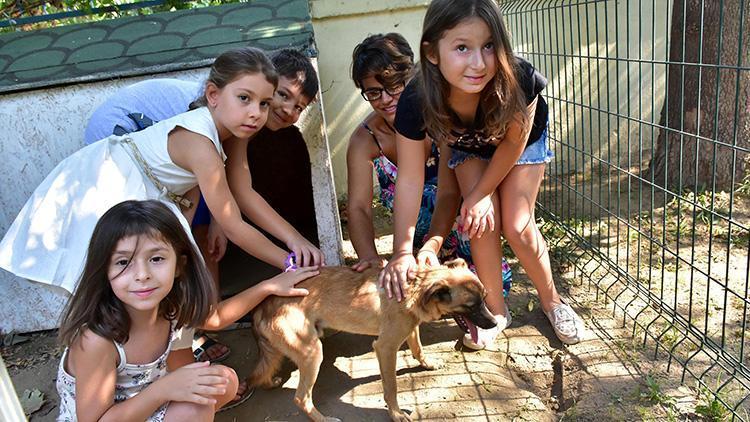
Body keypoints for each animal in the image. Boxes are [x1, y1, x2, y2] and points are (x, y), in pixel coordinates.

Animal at [248, 258, 500, 422]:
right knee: (301, 398)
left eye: (485, 298)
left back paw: (271, 381)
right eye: (471, 306)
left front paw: (428, 364)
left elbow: (418, 349)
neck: (415, 288)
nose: (494, 323)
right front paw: (396, 414)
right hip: (312, 353)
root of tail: (263, 306)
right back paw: (325, 419)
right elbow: (392, 386)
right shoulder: (385, 347)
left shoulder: (410, 328)